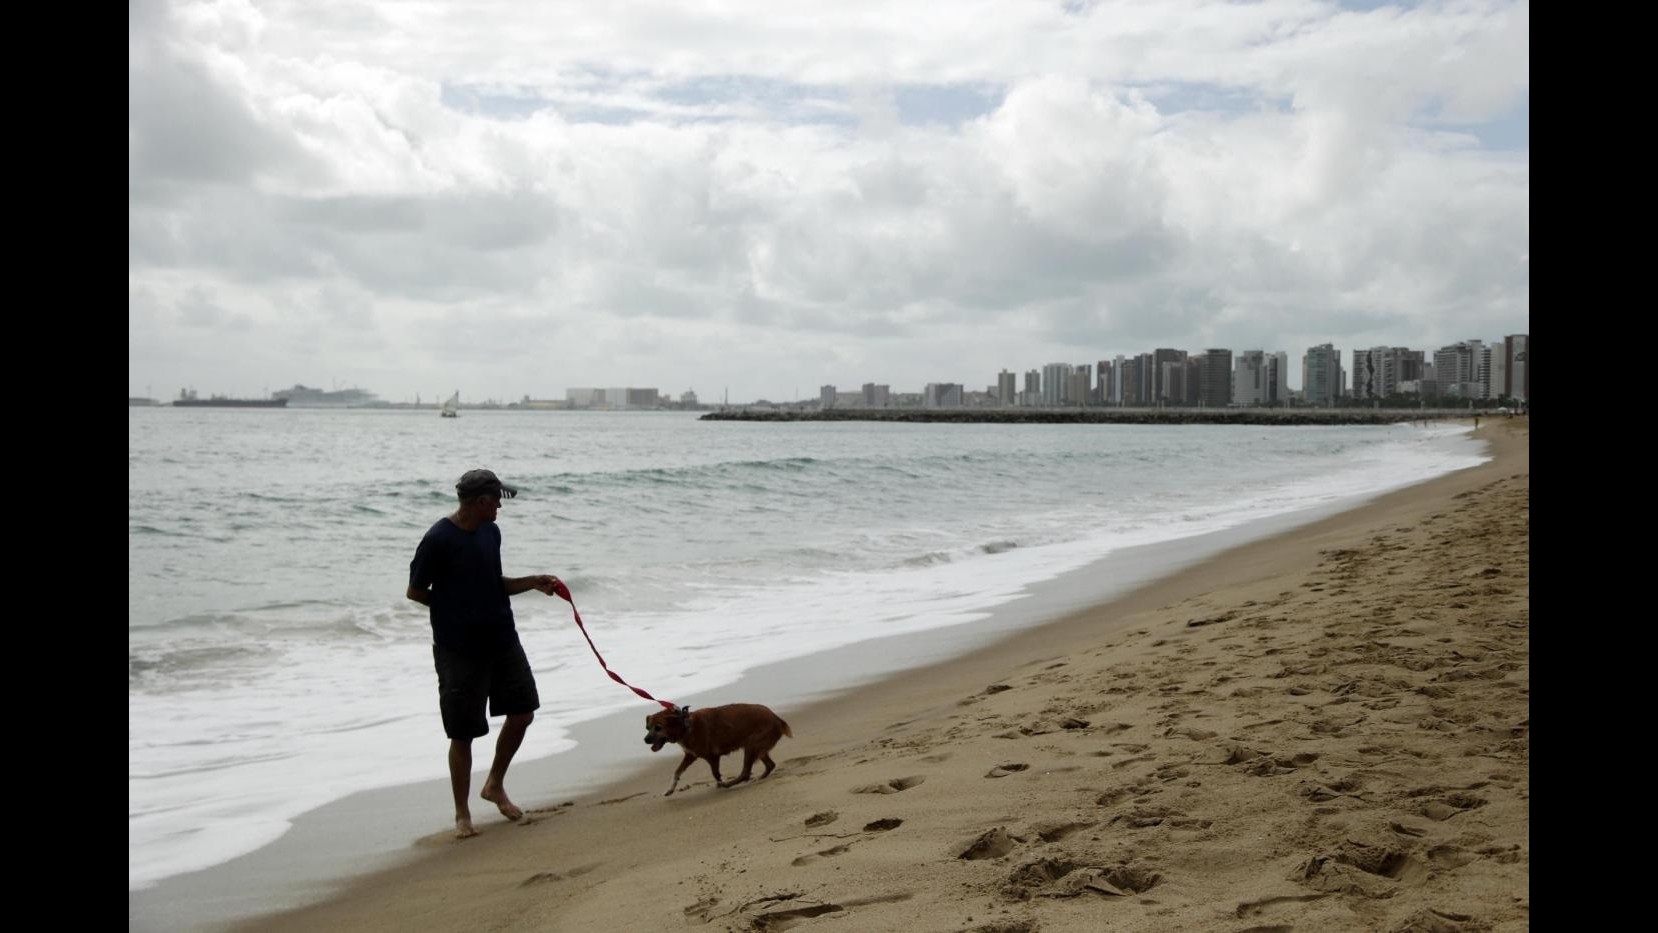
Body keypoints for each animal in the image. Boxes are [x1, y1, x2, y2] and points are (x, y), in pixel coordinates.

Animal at [643, 709, 792, 795]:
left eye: (658, 727)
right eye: (648, 728)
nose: (645, 740)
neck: (685, 725)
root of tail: (777, 718)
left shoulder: (712, 756)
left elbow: (715, 774)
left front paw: (721, 782)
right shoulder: (690, 755)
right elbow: (677, 772)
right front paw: (670, 789)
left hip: (751, 745)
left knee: (745, 772)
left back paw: (729, 784)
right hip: (758, 748)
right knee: (770, 764)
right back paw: (760, 777)